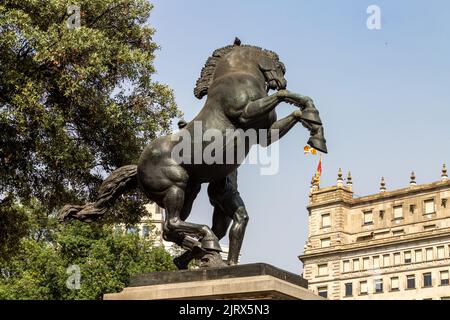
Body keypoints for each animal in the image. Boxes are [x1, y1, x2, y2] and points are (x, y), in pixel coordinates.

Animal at [59, 38, 326, 268]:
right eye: (280, 66)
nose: (282, 81)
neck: (236, 76)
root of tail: (138, 167)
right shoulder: (245, 113)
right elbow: (283, 97)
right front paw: (314, 125)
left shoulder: (265, 134)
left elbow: (295, 109)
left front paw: (316, 131)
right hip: (176, 186)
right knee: (173, 224)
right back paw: (207, 242)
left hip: (190, 192)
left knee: (173, 229)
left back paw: (200, 253)